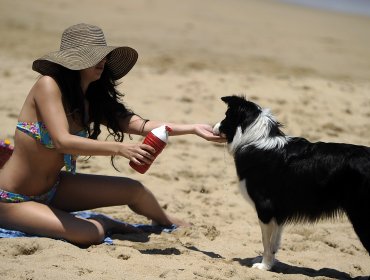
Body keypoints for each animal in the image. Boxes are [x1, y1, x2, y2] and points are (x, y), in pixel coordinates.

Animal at [212, 95, 368, 270]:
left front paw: (264, 266)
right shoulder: (279, 211)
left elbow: (266, 241)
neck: (255, 139)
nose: (213, 127)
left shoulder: (265, 207)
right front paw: (270, 263)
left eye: (226, 116)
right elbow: (274, 241)